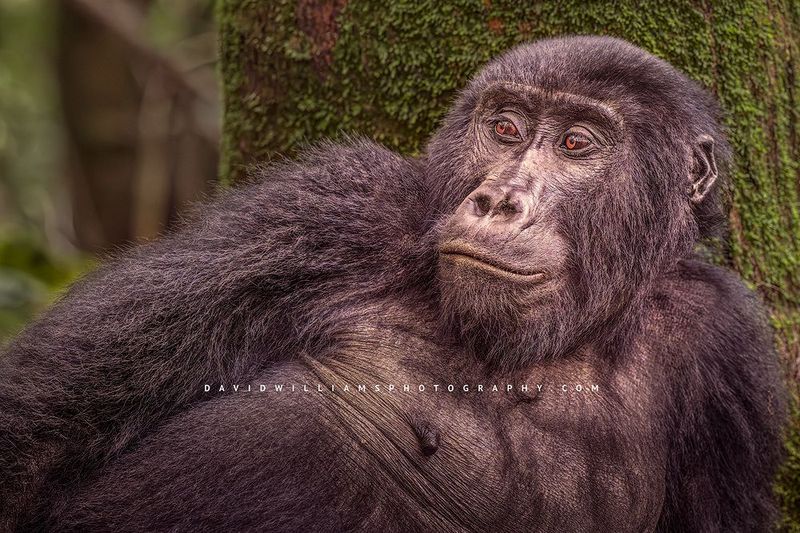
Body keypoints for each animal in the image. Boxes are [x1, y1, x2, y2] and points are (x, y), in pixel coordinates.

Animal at [0, 36, 786, 532]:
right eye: (505, 128)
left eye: (574, 144)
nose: (500, 199)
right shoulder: (330, 213)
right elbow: (52, 408)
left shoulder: (728, 351)